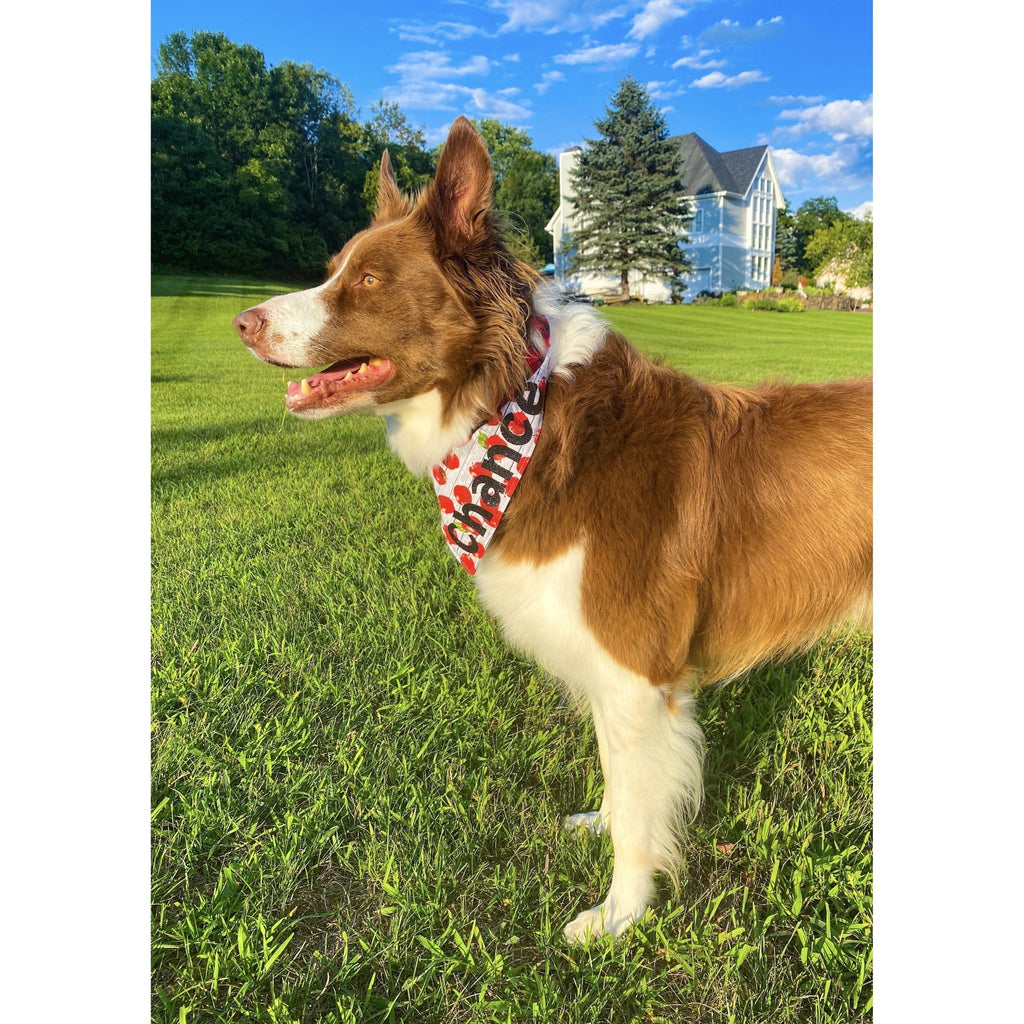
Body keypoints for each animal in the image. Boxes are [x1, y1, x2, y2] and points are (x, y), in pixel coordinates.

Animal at [232, 116, 872, 937]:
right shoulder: (611, 673)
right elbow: (624, 780)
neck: (521, 416)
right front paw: (605, 824)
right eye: (332, 270)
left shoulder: (636, 669)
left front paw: (618, 917)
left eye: (370, 280)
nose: (242, 322)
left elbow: (639, 807)